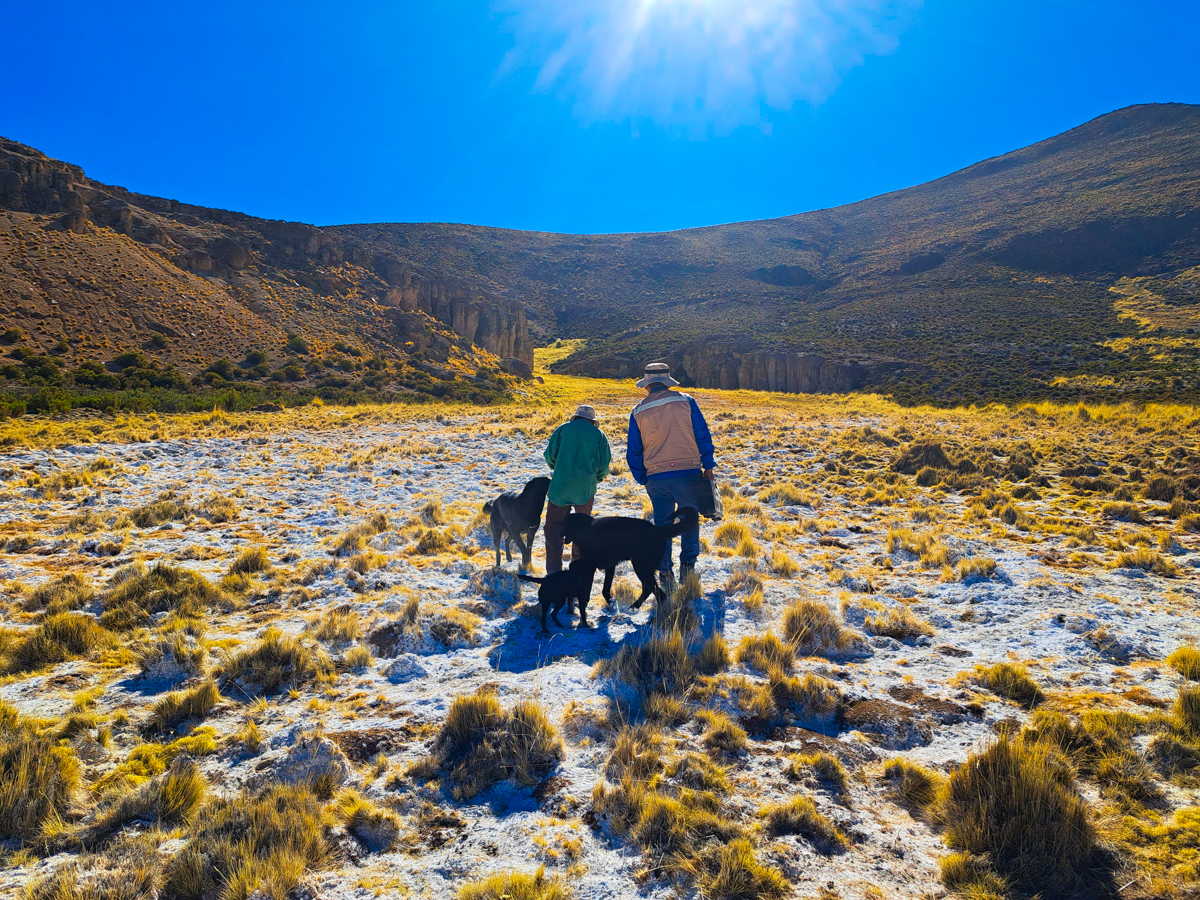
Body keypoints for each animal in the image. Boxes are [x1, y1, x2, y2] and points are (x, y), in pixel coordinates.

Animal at [564, 508, 700, 614]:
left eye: (563, 524)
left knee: (659, 593)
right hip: (643, 567)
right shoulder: (610, 566)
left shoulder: (590, 567)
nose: (560, 531)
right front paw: (611, 602)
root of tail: (657, 530)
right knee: (649, 589)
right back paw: (635, 606)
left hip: (640, 566)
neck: (586, 529)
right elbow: (605, 588)